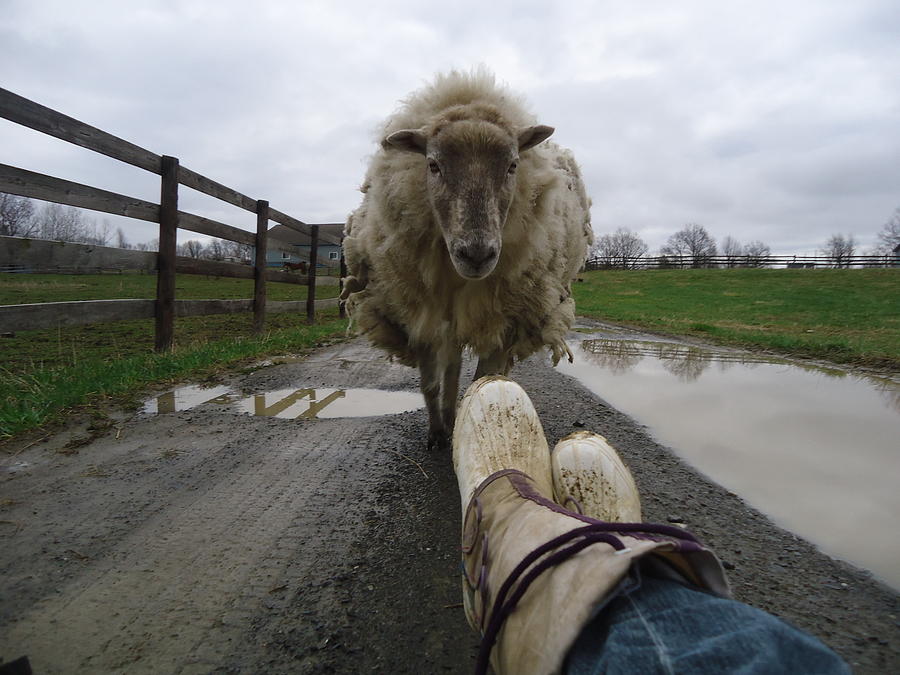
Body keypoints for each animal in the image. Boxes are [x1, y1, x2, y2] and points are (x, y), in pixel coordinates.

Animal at [342, 70, 596, 448]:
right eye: (432, 165)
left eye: (513, 165)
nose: (476, 253)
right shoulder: (422, 316)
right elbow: (432, 382)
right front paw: (437, 432)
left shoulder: (503, 319)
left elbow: (484, 380)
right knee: (449, 370)